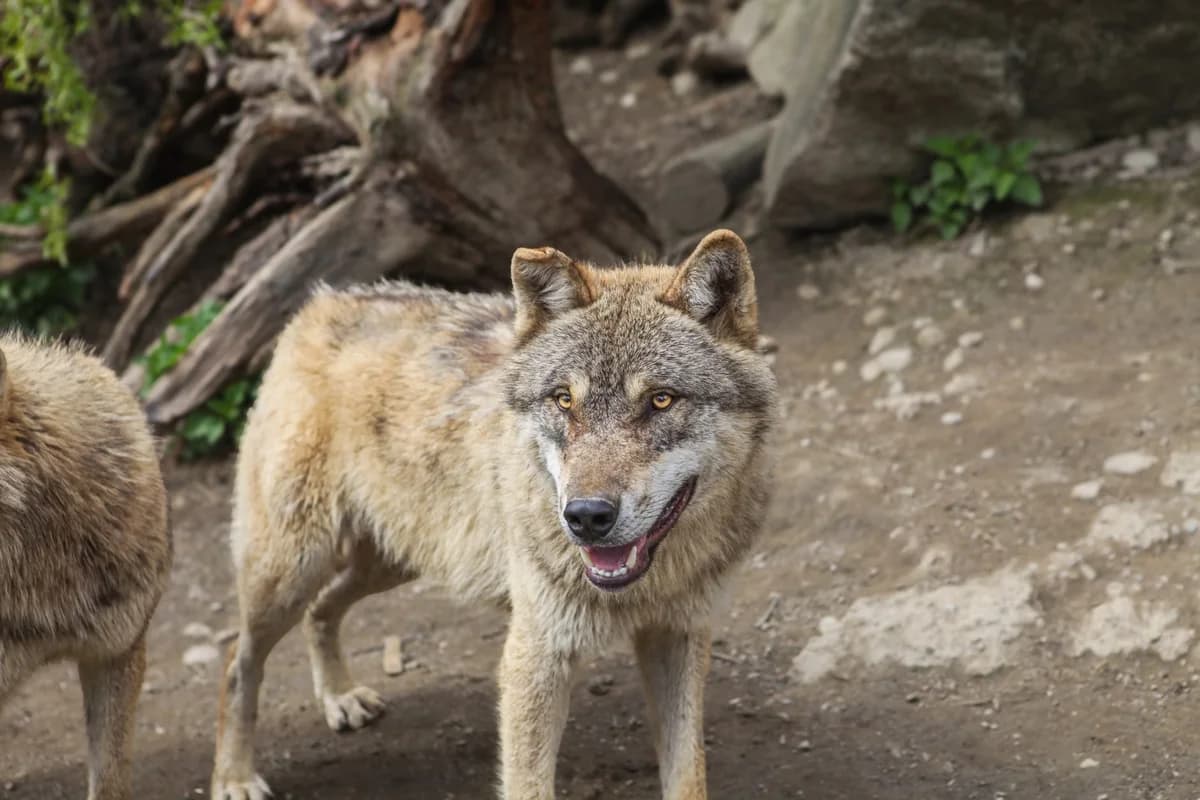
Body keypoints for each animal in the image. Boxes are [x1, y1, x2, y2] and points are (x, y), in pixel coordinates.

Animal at [210, 229, 777, 800]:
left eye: (661, 400)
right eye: (564, 400)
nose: (586, 516)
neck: (645, 587)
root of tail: (320, 304)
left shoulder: (677, 636)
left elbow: (688, 774)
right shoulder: (535, 655)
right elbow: (527, 783)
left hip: (394, 560)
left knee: (321, 611)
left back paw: (339, 697)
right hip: (290, 572)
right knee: (238, 660)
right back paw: (235, 777)